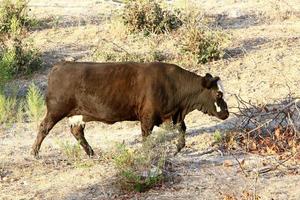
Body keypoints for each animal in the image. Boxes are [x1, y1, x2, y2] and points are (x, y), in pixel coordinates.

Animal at [31, 61, 230, 157]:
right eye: (218, 94)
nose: (227, 113)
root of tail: (60, 66)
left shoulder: (173, 114)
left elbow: (182, 129)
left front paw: (178, 148)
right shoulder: (147, 117)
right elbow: (146, 137)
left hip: (77, 114)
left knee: (77, 132)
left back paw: (92, 153)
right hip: (56, 110)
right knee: (43, 127)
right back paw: (34, 153)